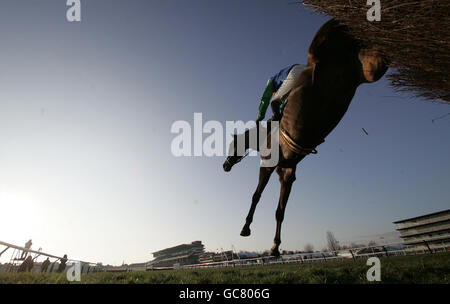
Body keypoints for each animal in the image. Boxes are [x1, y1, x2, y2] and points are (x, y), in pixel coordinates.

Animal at [223, 19, 388, 256]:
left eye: (232, 145)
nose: (225, 166)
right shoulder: (287, 172)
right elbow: (280, 210)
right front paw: (275, 247)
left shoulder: (268, 165)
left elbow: (256, 196)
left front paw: (245, 228)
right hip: (364, 69)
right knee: (378, 60)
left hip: (320, 50)